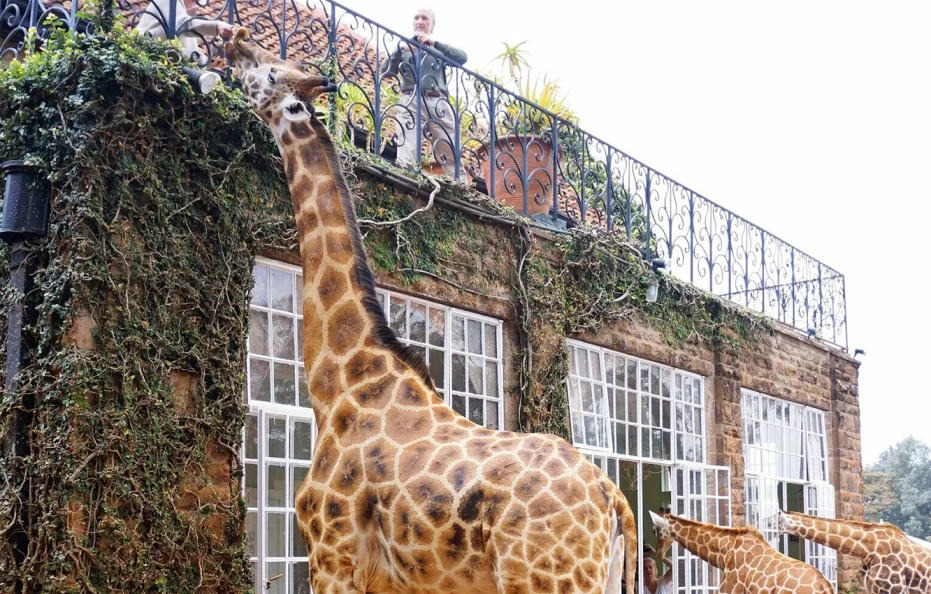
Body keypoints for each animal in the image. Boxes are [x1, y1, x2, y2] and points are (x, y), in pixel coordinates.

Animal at [223, 27, 638, 594]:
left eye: (269, 72)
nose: (235, 41)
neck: (339, 386)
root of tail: (613, 500)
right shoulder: (392, 579)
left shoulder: (332, 557)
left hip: (546, 580)